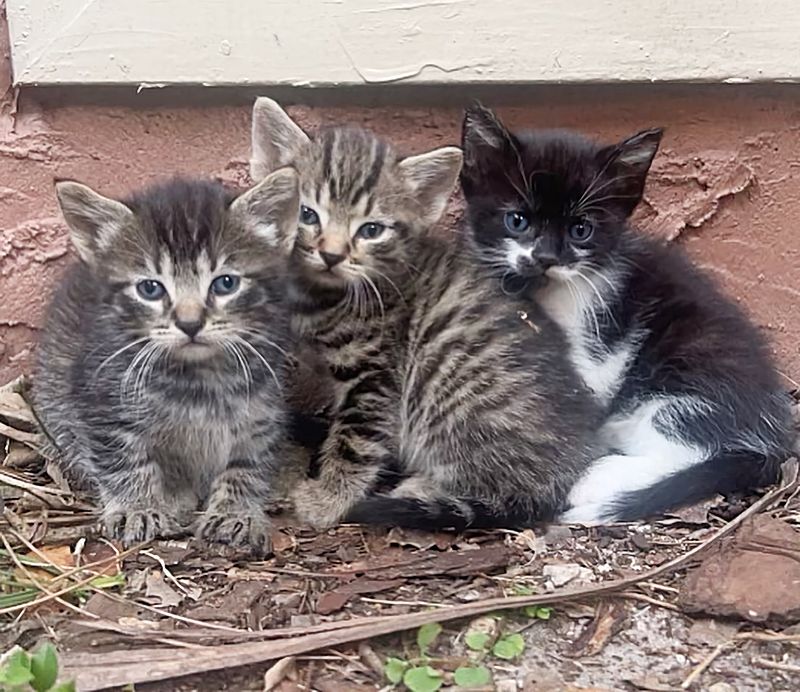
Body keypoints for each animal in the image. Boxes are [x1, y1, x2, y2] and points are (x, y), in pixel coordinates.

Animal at [34, 170, 300, 556]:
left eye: (225, 283)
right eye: (150, 288)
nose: (190, 324)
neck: (198, 377)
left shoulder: (261, 407)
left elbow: (247, 463)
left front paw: (237, 512)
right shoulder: (103, 402)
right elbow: (124, 457)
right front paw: (138, 506)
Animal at [250, 98, 600, 528]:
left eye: (371, 230)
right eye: (307, 214)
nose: (331, 255)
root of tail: (562, 478)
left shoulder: (376, 374)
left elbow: (357, 439)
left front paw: (328, 500)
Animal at [460, 105, 796, 520]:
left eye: (581, 229)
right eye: (517, 220)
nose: (546, 258)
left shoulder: (599, 346)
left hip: (685, 372)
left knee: (690, 442)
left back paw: (599, 477)